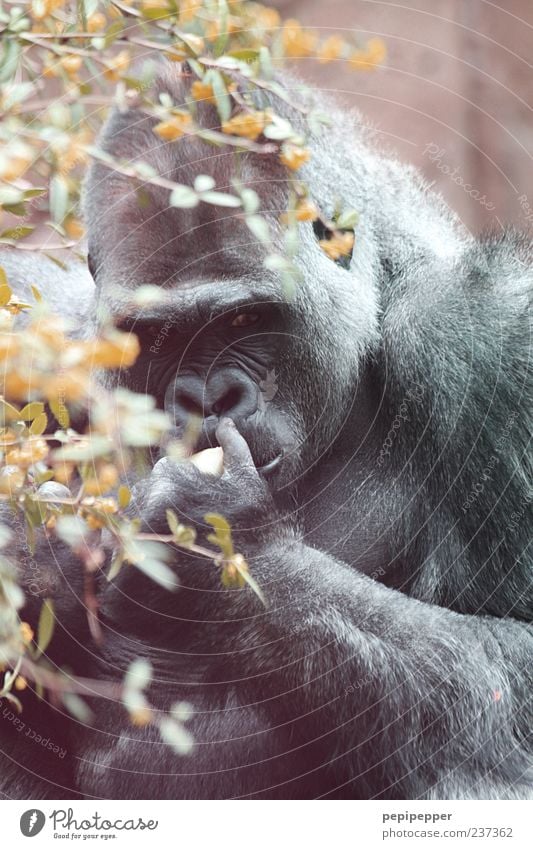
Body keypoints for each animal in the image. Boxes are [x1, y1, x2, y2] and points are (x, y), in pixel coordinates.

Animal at [0, 63, 528, 800]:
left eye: (245, 321)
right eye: (156, 336)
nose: (204, 396)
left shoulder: (489, 342)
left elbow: (515, 674)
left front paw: (205, 543)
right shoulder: (39, 340)